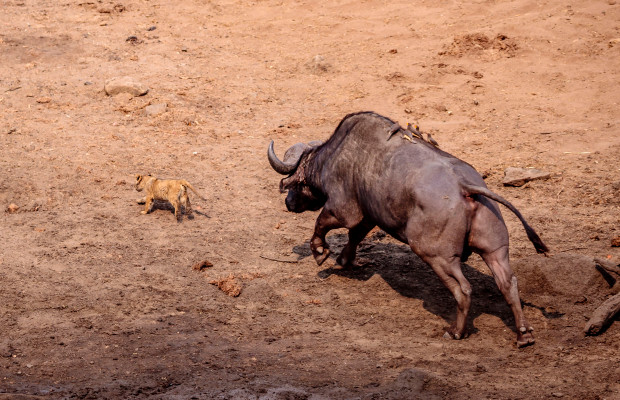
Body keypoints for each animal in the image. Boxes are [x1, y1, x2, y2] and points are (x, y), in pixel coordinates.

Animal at [266, 110, 548, 346]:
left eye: (295, 185)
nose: (288, 202)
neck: (332, 156)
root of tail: (465, 187)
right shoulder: (370, 215)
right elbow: (355, 236)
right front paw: (346, 261)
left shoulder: (343, 209)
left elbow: (323, 223)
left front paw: (319, 252)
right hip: (495, 251)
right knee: (508, 284)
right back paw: (524, 334)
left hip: (437, 256)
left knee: (464, 289)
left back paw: (456, 331)